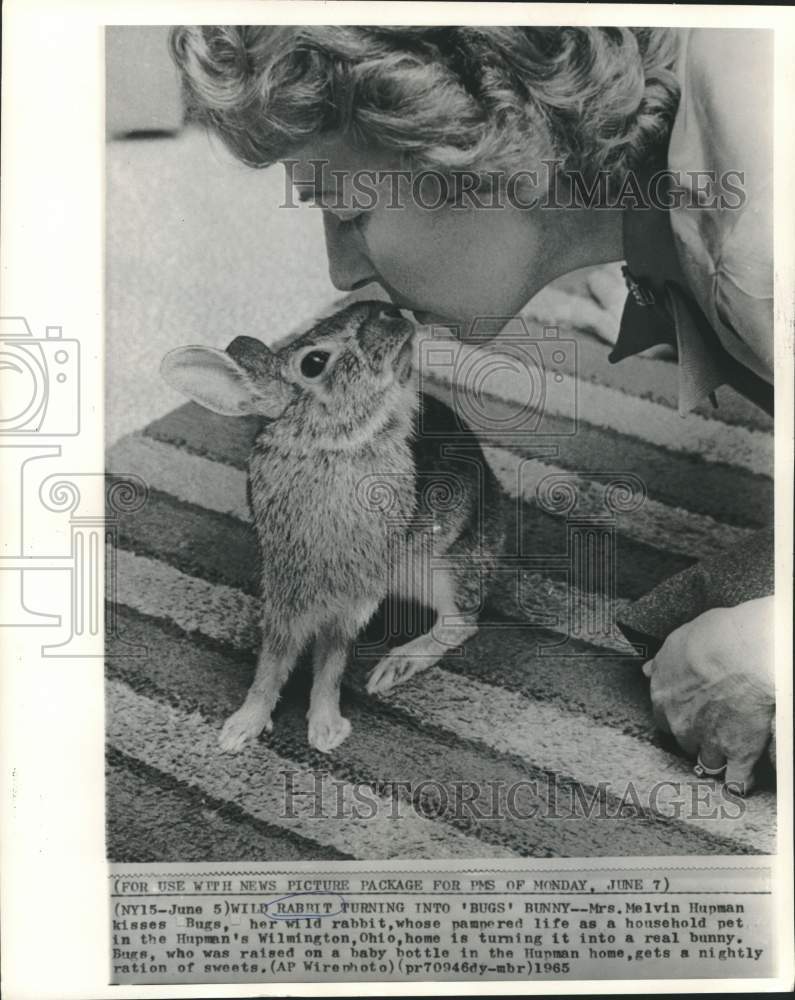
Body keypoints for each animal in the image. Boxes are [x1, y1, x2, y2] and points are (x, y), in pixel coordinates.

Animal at [160, 300, 507, 754]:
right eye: (314, 362)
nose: (392, 311)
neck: (338, 446)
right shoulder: (287, 593)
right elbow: (273, 662)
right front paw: (240, 729)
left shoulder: (353, 601)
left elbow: (332, 661)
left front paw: (325, 730)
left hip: (444, 568)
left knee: (459, 624)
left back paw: (394, 667)